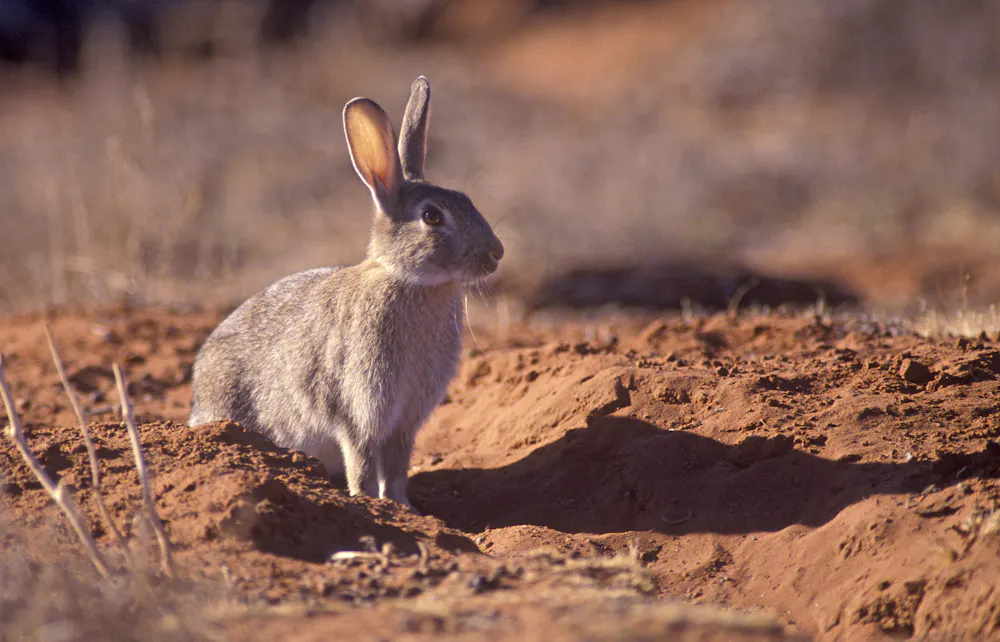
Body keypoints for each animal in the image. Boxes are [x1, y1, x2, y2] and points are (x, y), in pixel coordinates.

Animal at [188, 76, 503, 508]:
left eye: (468, 201)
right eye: (432, 216)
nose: (496, 253)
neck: (408, 280)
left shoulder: (403, 421)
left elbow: (397, 468)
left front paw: (404, 507)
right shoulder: (358, 410)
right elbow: (363, 462)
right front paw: (369, 502)